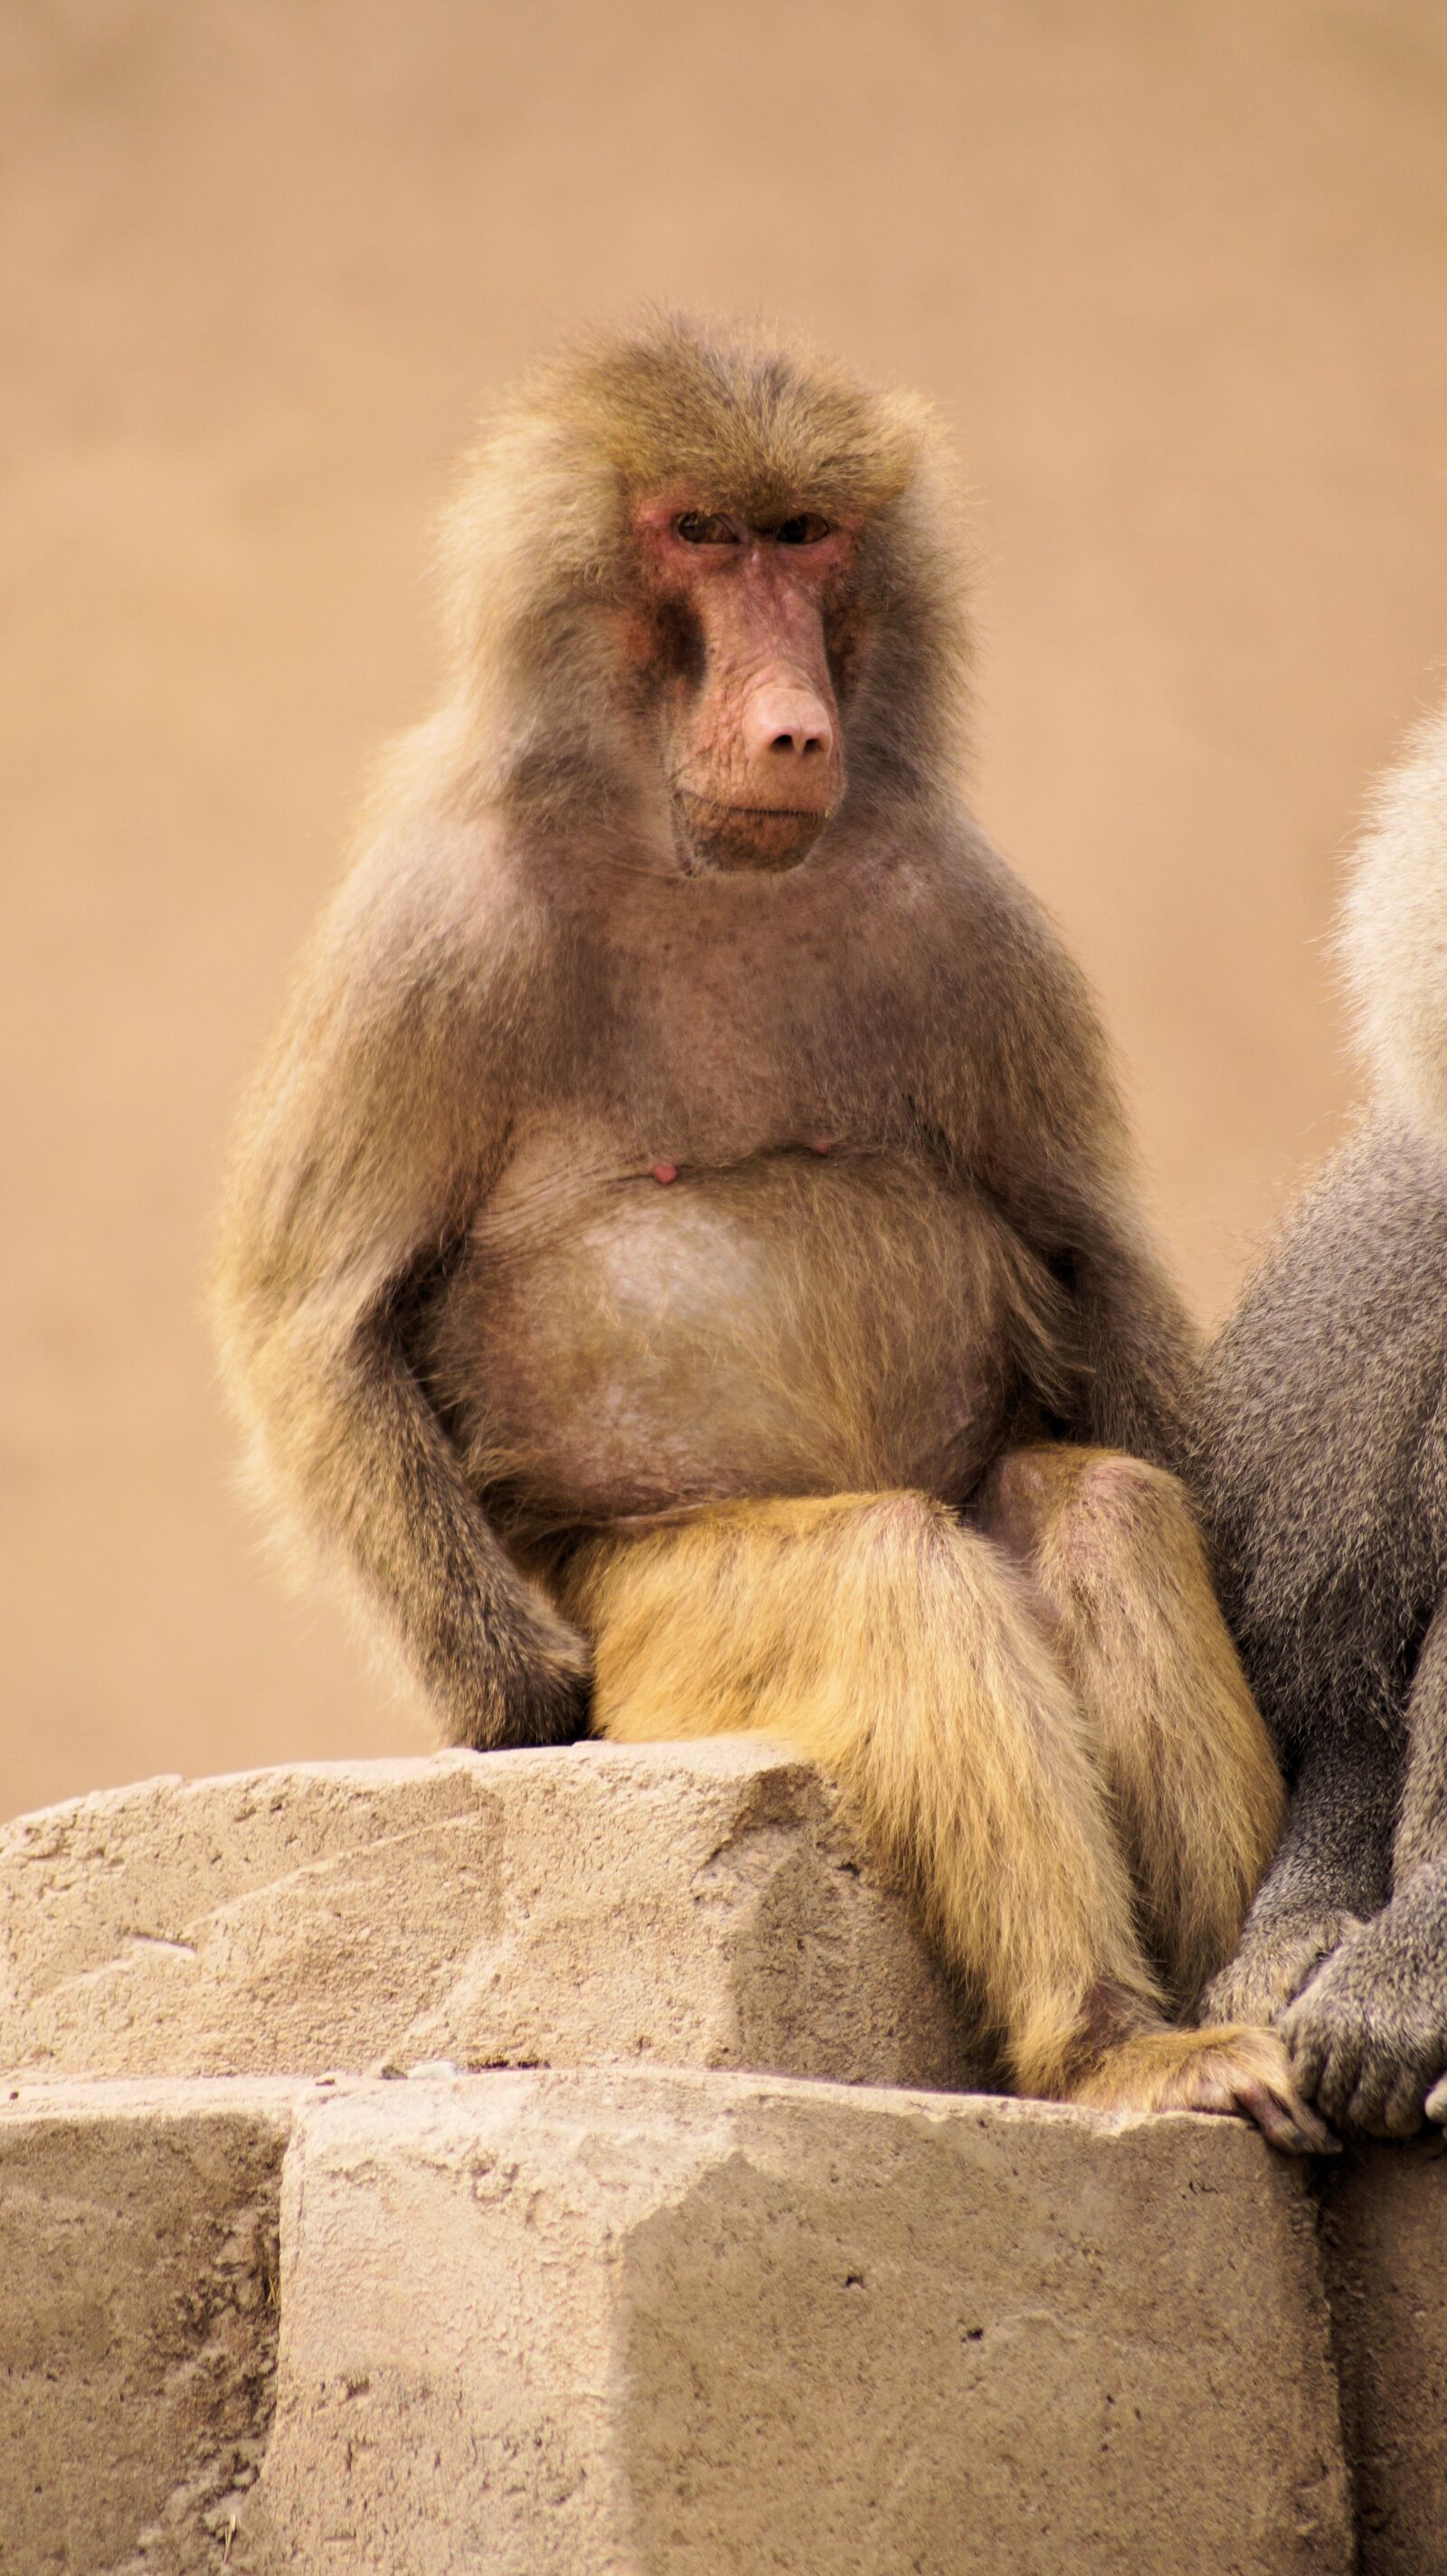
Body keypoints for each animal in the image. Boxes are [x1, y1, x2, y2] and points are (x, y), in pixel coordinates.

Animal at [211, 315, 1324, 2148]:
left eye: (805, 539)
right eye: (700, 537)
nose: (796, 725)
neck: (691, 855)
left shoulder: (968, 913)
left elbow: (1081, 1254)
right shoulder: (433, 928)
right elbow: (320, 1320)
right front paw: (515, 1712)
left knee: (1091, 1507)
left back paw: (1228, 2016)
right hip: (661, 1610)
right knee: (893, 1569)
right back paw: (1106, 2040)